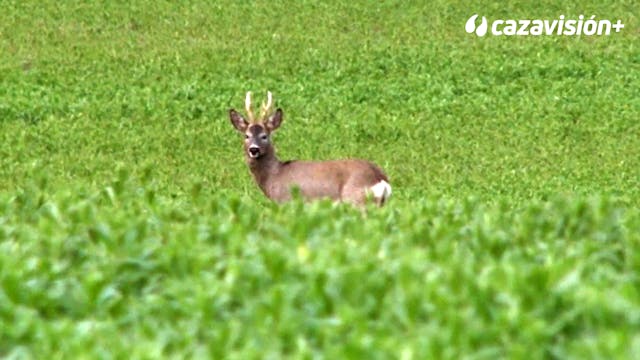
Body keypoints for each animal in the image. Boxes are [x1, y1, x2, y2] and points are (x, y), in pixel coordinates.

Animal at [230, 91, 390, 207]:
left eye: (264, 136)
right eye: (246, 135)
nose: (254, 149)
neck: (274, 176)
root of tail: (381, 179)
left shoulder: (287, 202)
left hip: (356, 201)